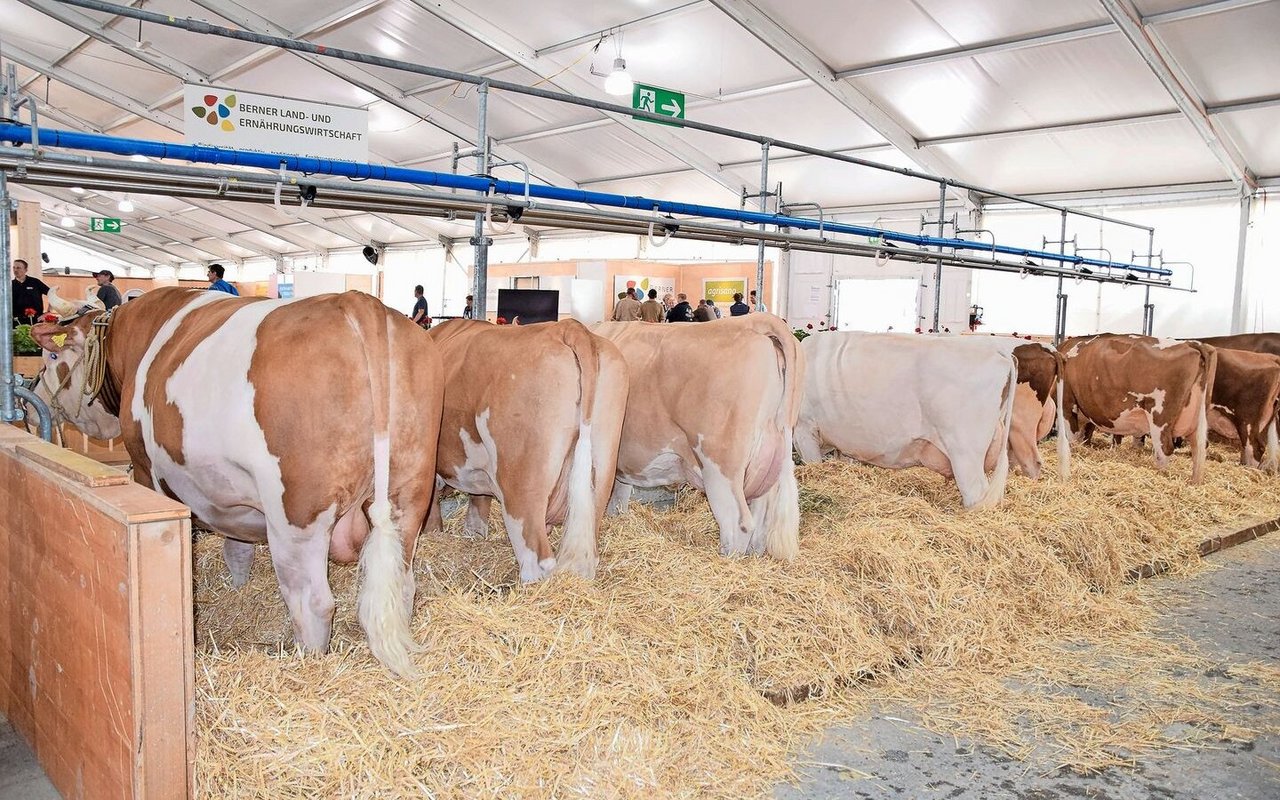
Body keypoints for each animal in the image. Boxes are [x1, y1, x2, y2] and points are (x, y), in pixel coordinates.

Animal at [27, 286, 442, 675]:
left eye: (52, 357)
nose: (34, 403)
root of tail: (357, 303)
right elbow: (237, 547)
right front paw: (239, 586)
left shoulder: (146, 468)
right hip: (410, 493)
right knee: (403, 586)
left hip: (296, 514)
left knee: (312, 601)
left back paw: (305, 660)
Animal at [427, 316, 627, 581]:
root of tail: (568, 327)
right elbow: (478, 508)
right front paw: (474, 535)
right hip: (602, 467)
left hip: (521, 485)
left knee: (538, 560)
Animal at [588, 313, 798, 560]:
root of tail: (752, 321)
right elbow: (619, 499)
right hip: (767, 458)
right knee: (761, 516)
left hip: (719, 464)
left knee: (739, 522)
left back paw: (726, 558)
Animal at [1059, 332, 1218, 483]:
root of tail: (1190, 343)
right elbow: (1084, 435)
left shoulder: (1067, 404)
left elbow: (1072, 437)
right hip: (1199, 418)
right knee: (1199, 448)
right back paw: (1195, 482)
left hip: (1159, 417)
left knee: (1164, 450)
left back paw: (1160, 474)